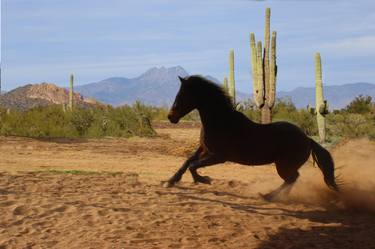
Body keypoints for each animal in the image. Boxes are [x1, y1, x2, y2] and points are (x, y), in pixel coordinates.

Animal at [163, 75, 340, 199]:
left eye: (182, 95)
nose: (171, 117)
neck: (220, 122)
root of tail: (308, 140)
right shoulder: (204, 149)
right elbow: (188, 162)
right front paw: (170, 181)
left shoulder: (219, 156)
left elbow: (193, 166)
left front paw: (205, 179)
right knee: (292, 179)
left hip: (283, 166)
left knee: (292, 178)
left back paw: (269, 196)